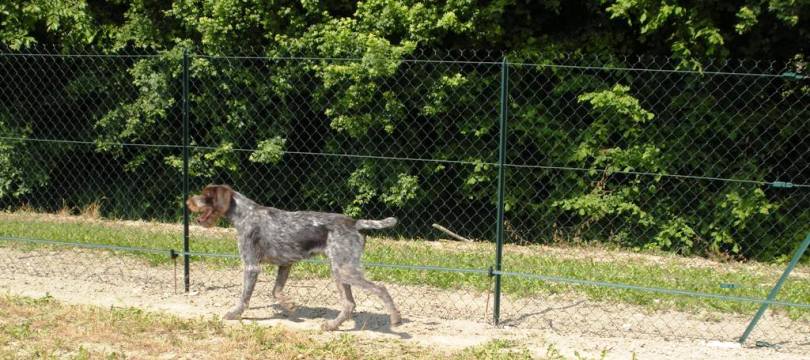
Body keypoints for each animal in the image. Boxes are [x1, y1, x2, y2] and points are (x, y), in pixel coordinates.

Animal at [183, 184, 398, 330]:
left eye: (206, 195)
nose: (188, 201)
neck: (244, 214)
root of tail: (355, 223)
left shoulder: (251, 266)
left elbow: (245, 297)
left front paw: (235, 313)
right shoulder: (285, 264)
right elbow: (276, 291)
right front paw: (290, 306)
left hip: (345, 270)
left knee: (380, 289)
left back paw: (396, 318)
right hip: (338, 270)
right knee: (349, 304)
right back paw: (331, 326)